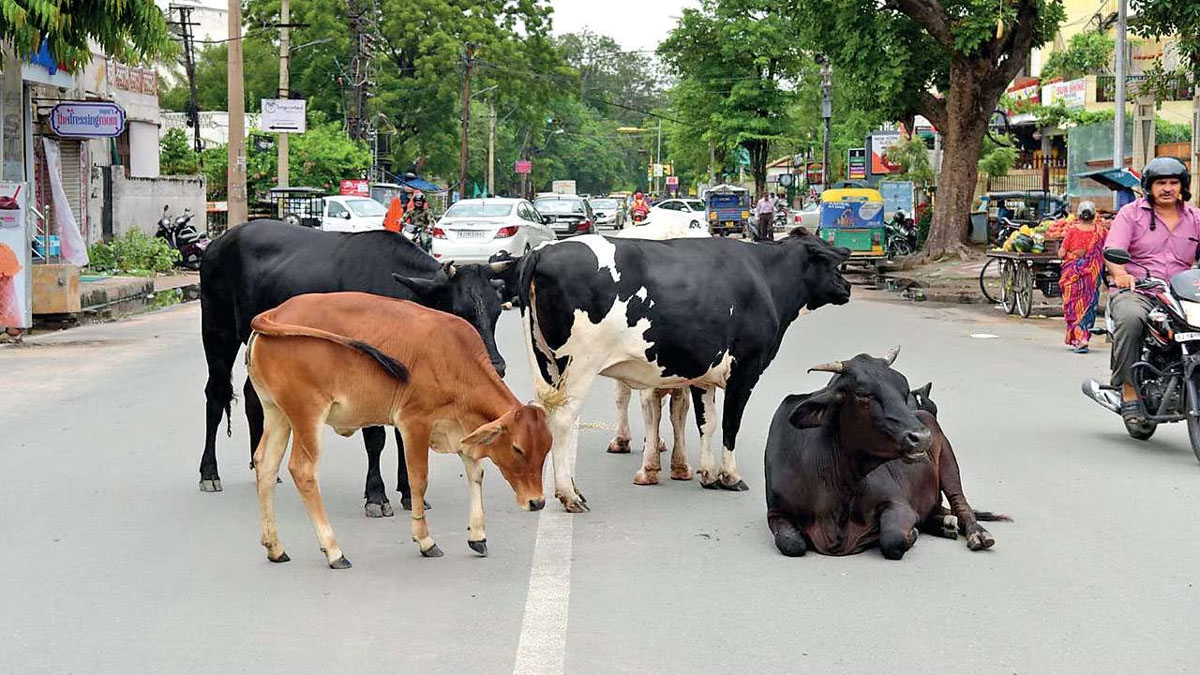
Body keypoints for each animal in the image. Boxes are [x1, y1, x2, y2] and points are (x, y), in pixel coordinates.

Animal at [198, 218, 516, 511]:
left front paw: (408, 492)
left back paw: (263, 468)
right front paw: (376, 495)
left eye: (497, 311)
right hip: (217, 331)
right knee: (215, 393)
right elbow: (375, 437)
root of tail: (221, 240)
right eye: (459, 312)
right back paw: (209, 473)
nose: (496, 366)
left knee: (254, 397)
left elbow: (402, 434)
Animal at [244, 291, 552, 564]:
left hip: (277, 413)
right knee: (303, 470)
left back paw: (275, 548)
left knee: (265, 464)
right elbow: (419, 479)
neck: (455, 358)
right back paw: (334, 551)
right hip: (307, 414)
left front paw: (478, 536)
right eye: (517, 448)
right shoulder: (414, 423)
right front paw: (425, 541)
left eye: (547, 449)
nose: (537, 502)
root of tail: (274, 313)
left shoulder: (461, 430)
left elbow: (476, 474)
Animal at [516, 227, 854, 509]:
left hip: (549, 366)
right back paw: (569, 495)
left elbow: (707, 422)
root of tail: (544, 250)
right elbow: (730, 424)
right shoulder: (745, 370)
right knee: (563, 421)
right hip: (580, 366)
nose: (848, 287)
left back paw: (574, 489)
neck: (765, 277)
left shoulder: (704, 372)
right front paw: (730, 476)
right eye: (829, 260)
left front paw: (707, 474)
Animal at [763, 345, 1008, 557]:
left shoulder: (898, 503)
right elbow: (791, 544)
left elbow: (892, 539)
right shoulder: (776, 511)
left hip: (948, 461)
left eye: (904, 390)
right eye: (863, 394)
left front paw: (911, 534)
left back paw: (977, 533)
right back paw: (945, 524)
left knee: (960, 504)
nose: (922, 437)